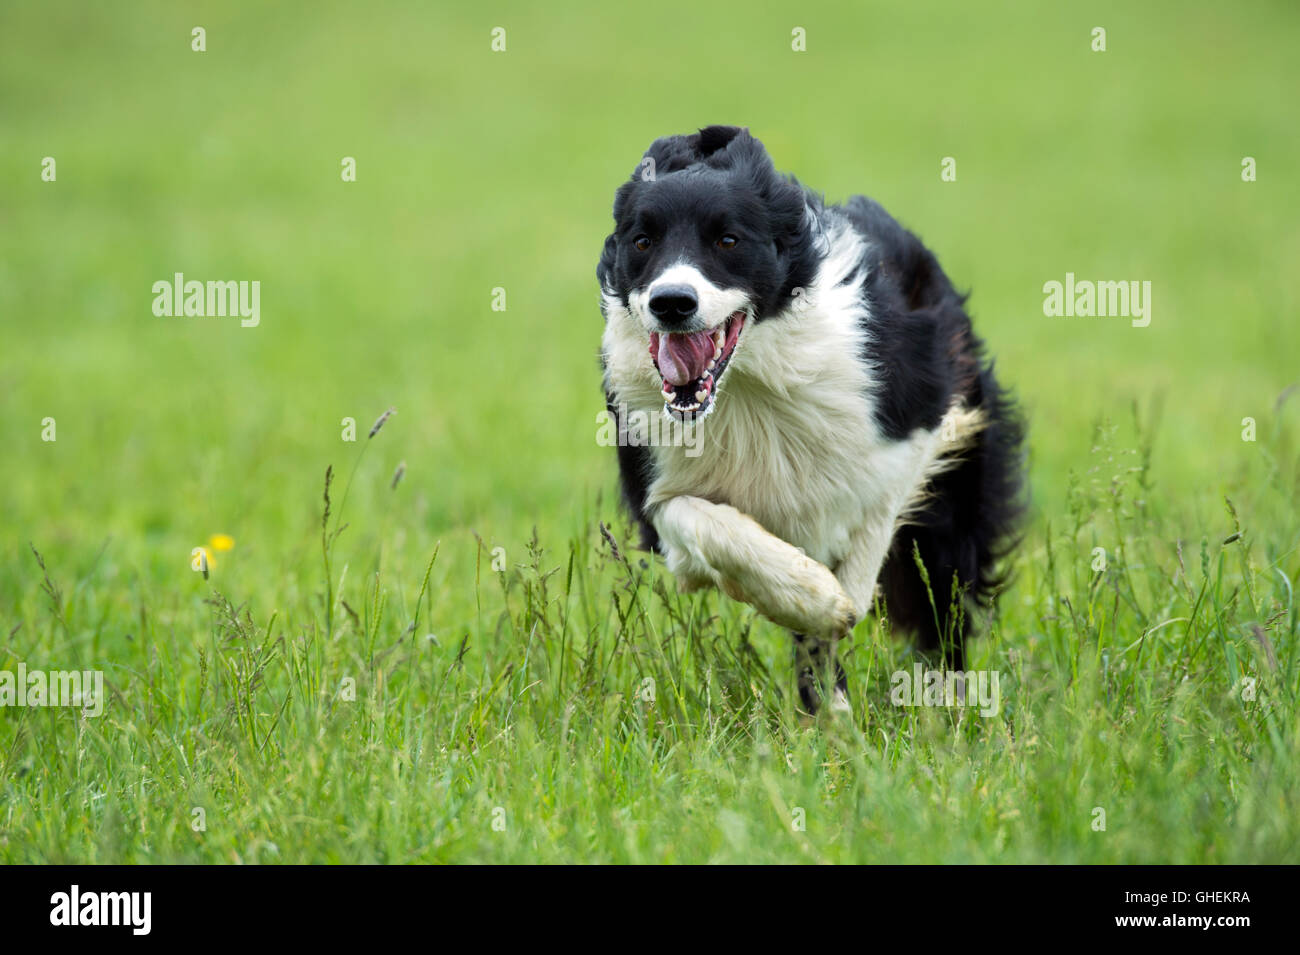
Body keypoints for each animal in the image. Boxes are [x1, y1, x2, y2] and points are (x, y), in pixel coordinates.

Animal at [595, 127, 1024, 712]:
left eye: (728, 240)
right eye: (642, 242)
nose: (671, 302)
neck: (746, 386)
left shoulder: (913, 424)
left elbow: (870, 533)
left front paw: (841, 601)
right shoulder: (654, 484)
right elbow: (703, 521)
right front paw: (811, 598)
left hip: (957, 494)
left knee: (946, 603)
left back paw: (947, 708)